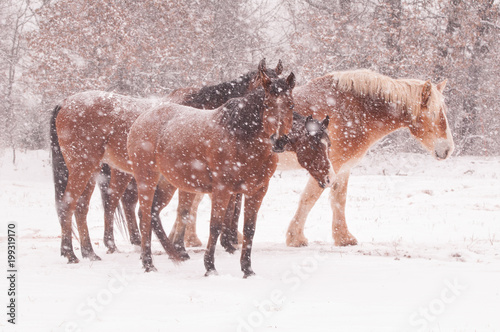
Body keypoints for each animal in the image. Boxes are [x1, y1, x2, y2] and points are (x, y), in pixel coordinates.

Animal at [50, 59, 286, 262]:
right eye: (264, 89)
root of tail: (65, 103)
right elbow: (190, 211)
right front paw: (186, 248)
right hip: (86, 167)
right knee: (75, 203)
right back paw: (73, 253)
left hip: (97, 170)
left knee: (88, 206)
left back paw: (92, 251)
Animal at [127, 61, 296, 276]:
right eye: (267, 104)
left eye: (290, 104)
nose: (279, 141)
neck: (239, 136)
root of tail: (143, 117)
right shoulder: (222, 190)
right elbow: (215, 226)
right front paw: (210, 267)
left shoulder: (257, 191)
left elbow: (249, 229)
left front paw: (247, 269)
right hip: (146, 177)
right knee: (146, 214)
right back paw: (149, 263)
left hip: (168, 182)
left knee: (152, 213)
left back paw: (169, 253)